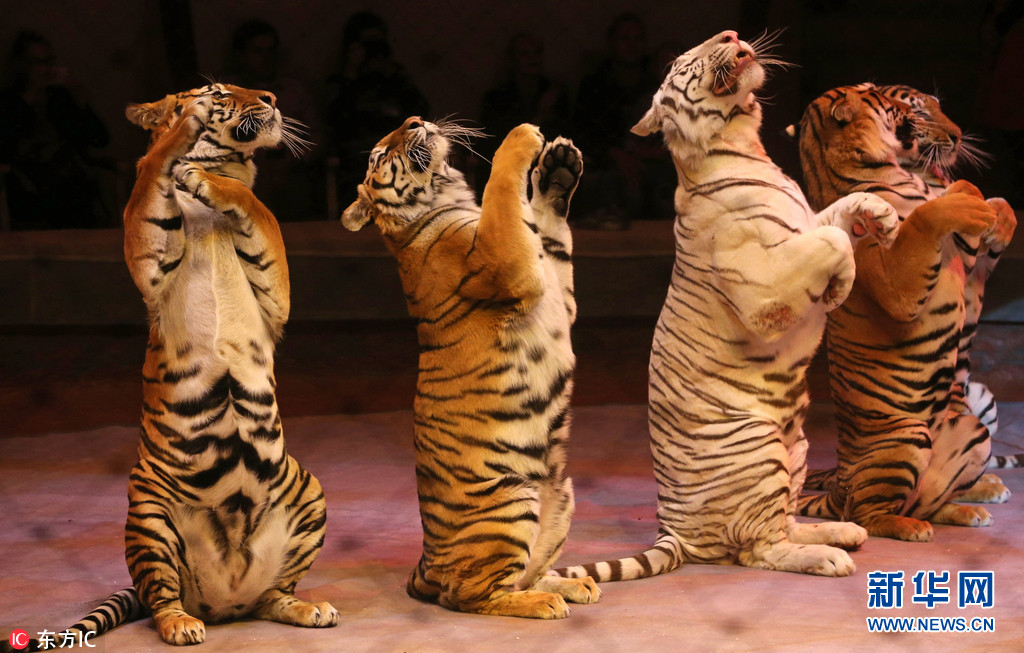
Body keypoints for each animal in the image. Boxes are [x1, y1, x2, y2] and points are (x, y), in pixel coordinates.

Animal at [17, 83, 338, 649]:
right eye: (222, 90)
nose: (271, 97)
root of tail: (228, 599)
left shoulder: (276, 298)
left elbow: (258, 208)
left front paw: (202, 177)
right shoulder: (150, 257)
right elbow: (152, 173)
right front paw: (185, 130)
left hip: (309, 493)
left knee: (274, 595)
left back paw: (308, 608)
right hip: (149, 513)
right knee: (163, 596)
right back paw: (181, 624)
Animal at [341, 117, 600, 618]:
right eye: (381, 154)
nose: (416, 121)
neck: (444, 199)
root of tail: (426, 562)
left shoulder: (555, 287)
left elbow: (551, 231)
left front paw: (558, 169)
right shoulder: (506, 261)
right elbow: (503, 189)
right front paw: (522, 137)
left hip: (561, 496)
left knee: (522, 575)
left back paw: (571, 585)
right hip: (511, 501)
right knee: (472, 596)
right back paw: (545, 603)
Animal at [554, 30, 901, 585]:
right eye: (682, 61)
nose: (731, 36)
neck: (745, 145)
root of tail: (674, 530)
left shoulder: (804, 221)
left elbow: (837, 213)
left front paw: (882, 215)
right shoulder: (764, 283)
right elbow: (830, 240)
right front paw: (841, 284)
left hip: (796, 446)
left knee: (783, 523)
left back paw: (837, 531)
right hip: (758, 447)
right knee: (760, 550)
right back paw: (828, 556)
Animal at [793, 82, 1015, 542]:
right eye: (880, 97)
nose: (958, 136)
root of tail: (838, 485)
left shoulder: (968, 266)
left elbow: (990, 206)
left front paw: (992, 215)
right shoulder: (897, 279)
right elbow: (925, 216)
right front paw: (962, 196)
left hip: (972, 429)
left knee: (925, 500)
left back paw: (963, 510)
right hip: (906, 440)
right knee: (865, 512)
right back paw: (906, 527)